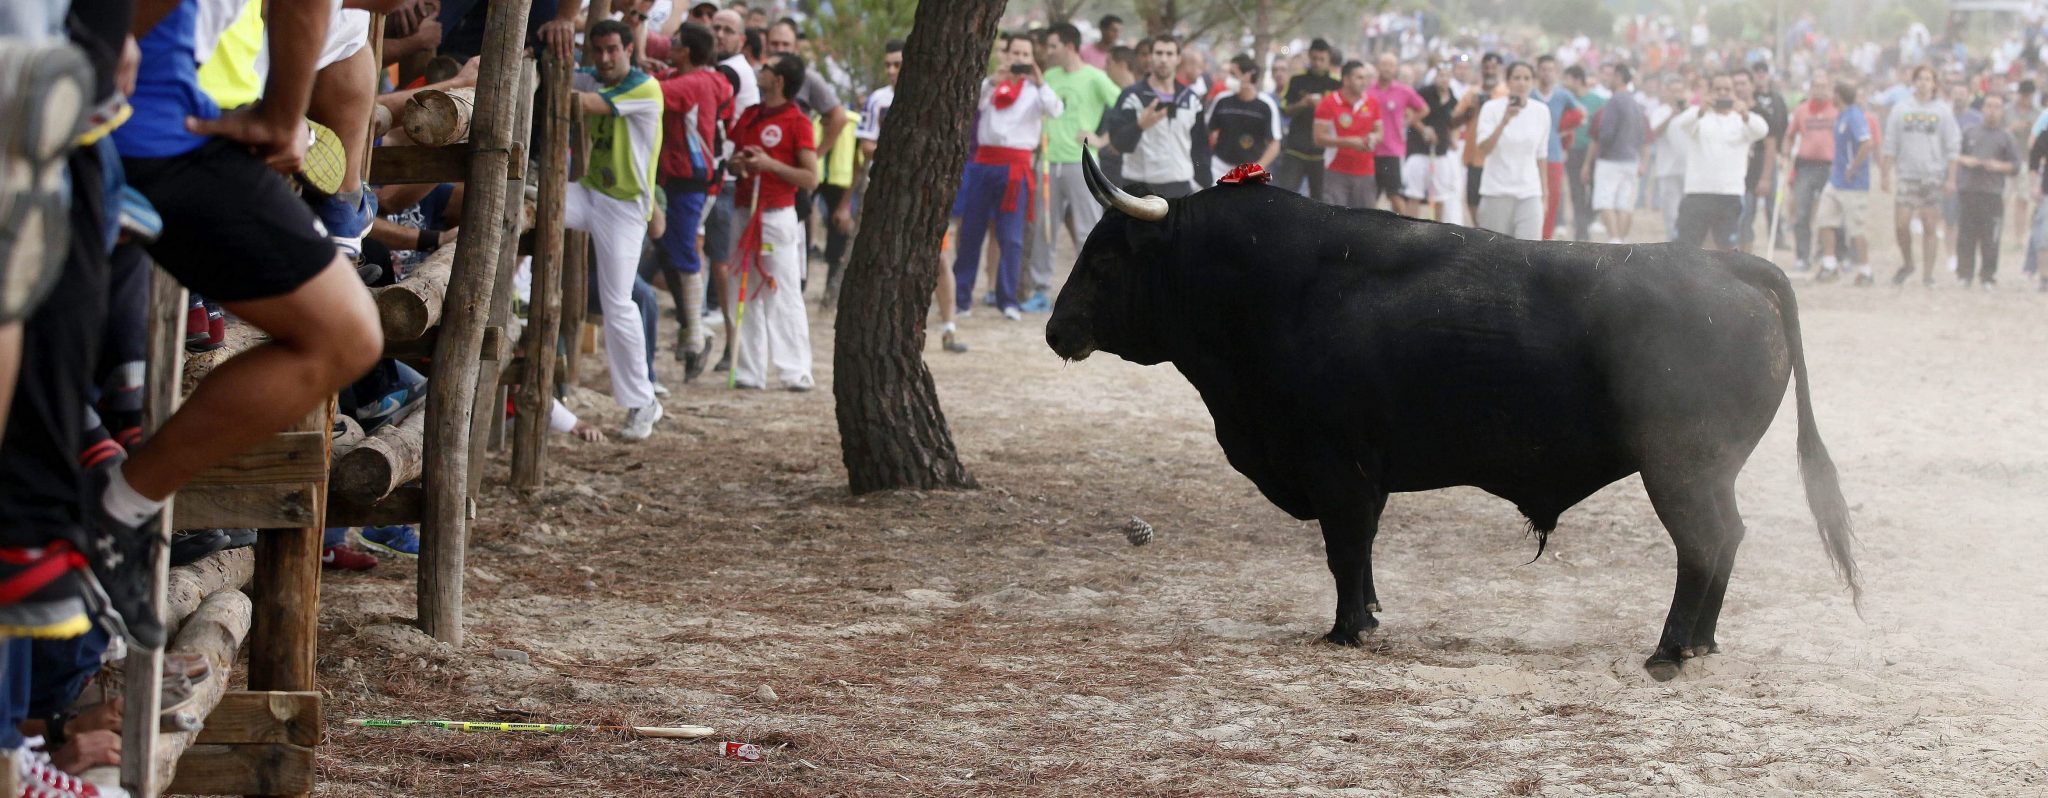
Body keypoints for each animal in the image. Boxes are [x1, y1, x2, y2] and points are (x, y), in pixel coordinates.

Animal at [1048, 154, 1867, 679]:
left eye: (1105, 258)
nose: (1057, 329)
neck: (1277, 286)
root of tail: (1728, 262)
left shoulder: (1338, 471)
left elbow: (1345, 552)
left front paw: (1347, 630)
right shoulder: (1356, 477)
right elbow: (1361, 557)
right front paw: (1369, 616)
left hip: (1681, 469)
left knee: (1704, 543)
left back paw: (1668, 652)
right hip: (1705, 471)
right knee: (1727, 540)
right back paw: (1700, 645)